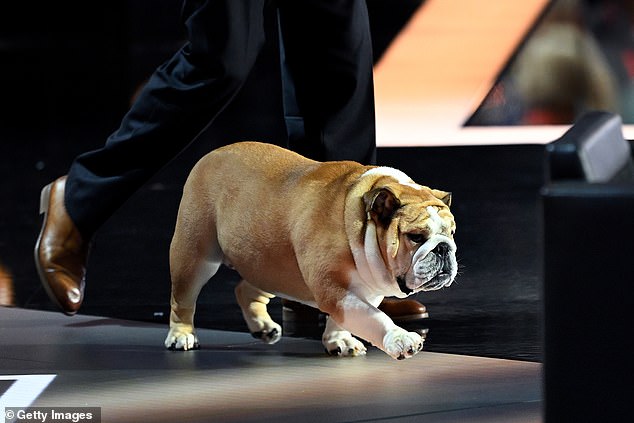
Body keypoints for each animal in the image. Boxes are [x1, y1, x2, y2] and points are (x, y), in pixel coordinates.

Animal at [164, 141, 454, 360]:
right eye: (415, 237)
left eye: (451, 232)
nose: (443, 249)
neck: (359, 225)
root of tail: (211, 154)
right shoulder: (334, 290)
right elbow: (375, 317)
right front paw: (400, 338)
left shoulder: (363, 290)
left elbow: (349, 317)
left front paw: (339, 340)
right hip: (195, 257)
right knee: (183, 298)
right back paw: (182, 335)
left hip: (270, 265)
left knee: (246, 289)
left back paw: (263, 327)